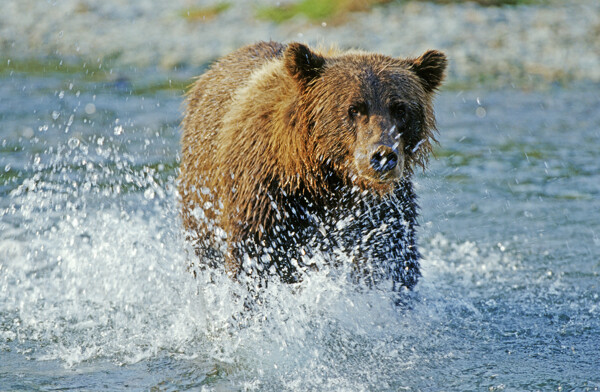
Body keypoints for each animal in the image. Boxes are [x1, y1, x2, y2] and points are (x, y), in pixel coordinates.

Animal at [178, 41, 446, 292]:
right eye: (354, 108)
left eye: (400, 109)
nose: (382, 156)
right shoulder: (266, 196)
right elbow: (255, 260)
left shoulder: (382, 214)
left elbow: (392, 260)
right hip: (202, 202)